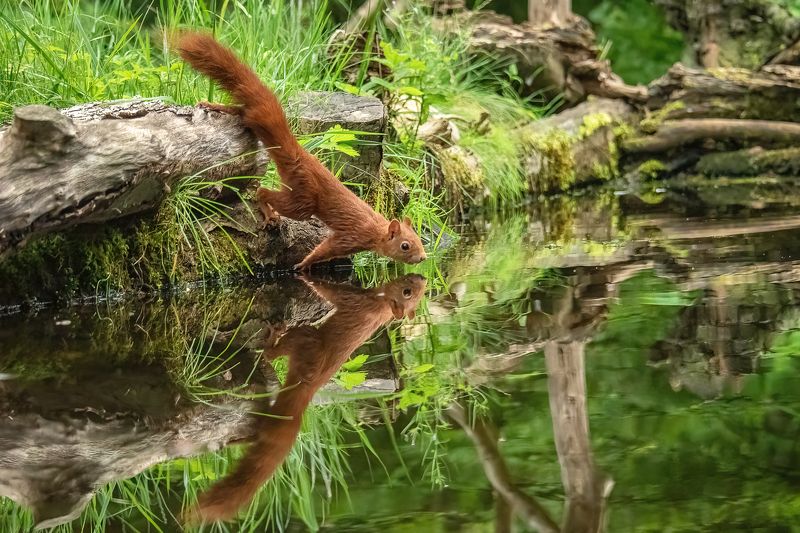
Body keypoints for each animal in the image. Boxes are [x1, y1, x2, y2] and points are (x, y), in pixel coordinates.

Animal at [175, 33, 427, 270]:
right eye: (405, 245)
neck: (375, 228)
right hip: (303, 200)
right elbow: (325, 249)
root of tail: (297, 151)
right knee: (263, 192)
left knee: (243, 111)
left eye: (420, 240)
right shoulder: (351, 236)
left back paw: (212, 105)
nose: (424, 257)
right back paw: (269, 213)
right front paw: (303, 264)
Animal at [184, 273, 427, 523]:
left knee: (271, 353)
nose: (422, 277)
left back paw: (273, 333)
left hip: (305, 338)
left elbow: (331, 293)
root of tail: (304, 398)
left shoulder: (356, 302)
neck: (381, 308)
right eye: (412, 292)